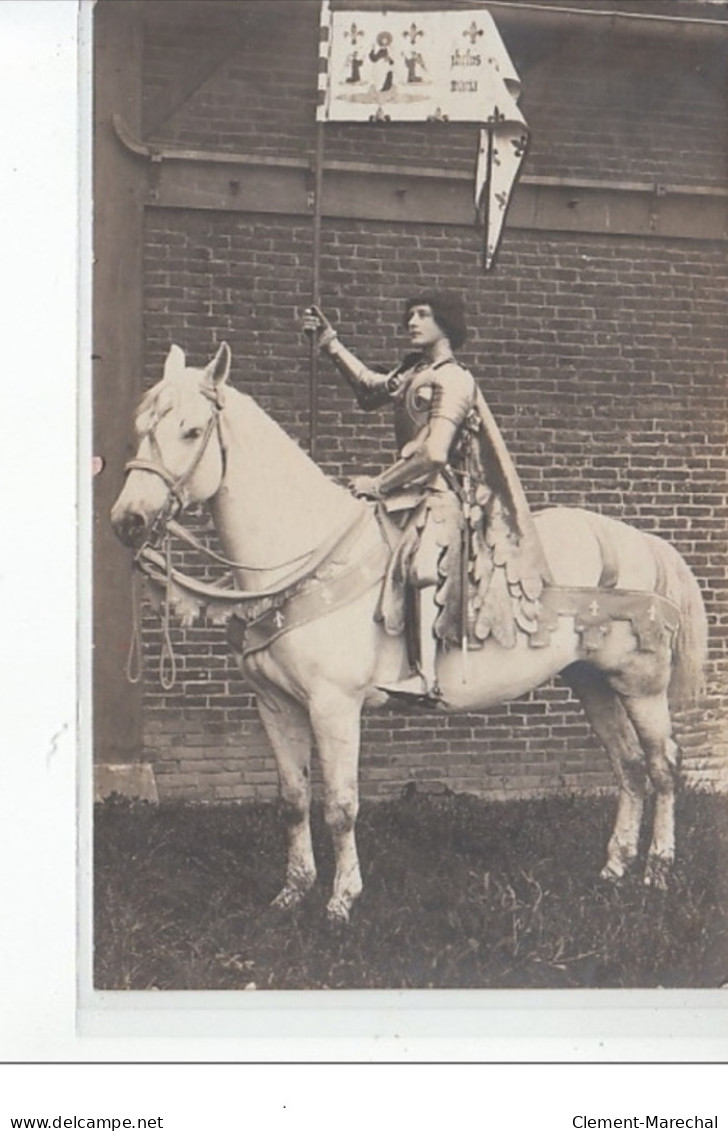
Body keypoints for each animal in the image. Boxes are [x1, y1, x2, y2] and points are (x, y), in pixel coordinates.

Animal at [110, 339, 709, 922]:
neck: (302, 557)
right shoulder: (274, 705)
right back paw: (613, 870)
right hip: (590, 681)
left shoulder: (334, 706)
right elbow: (293, 800)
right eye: (142, 425)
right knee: (629, 766)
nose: (127, 521)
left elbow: (341, 806)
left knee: (662, 767)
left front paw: (341, 900)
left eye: (190, 430)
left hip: (641, 686)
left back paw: (656, 872)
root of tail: (638, 540)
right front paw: (293, 891)